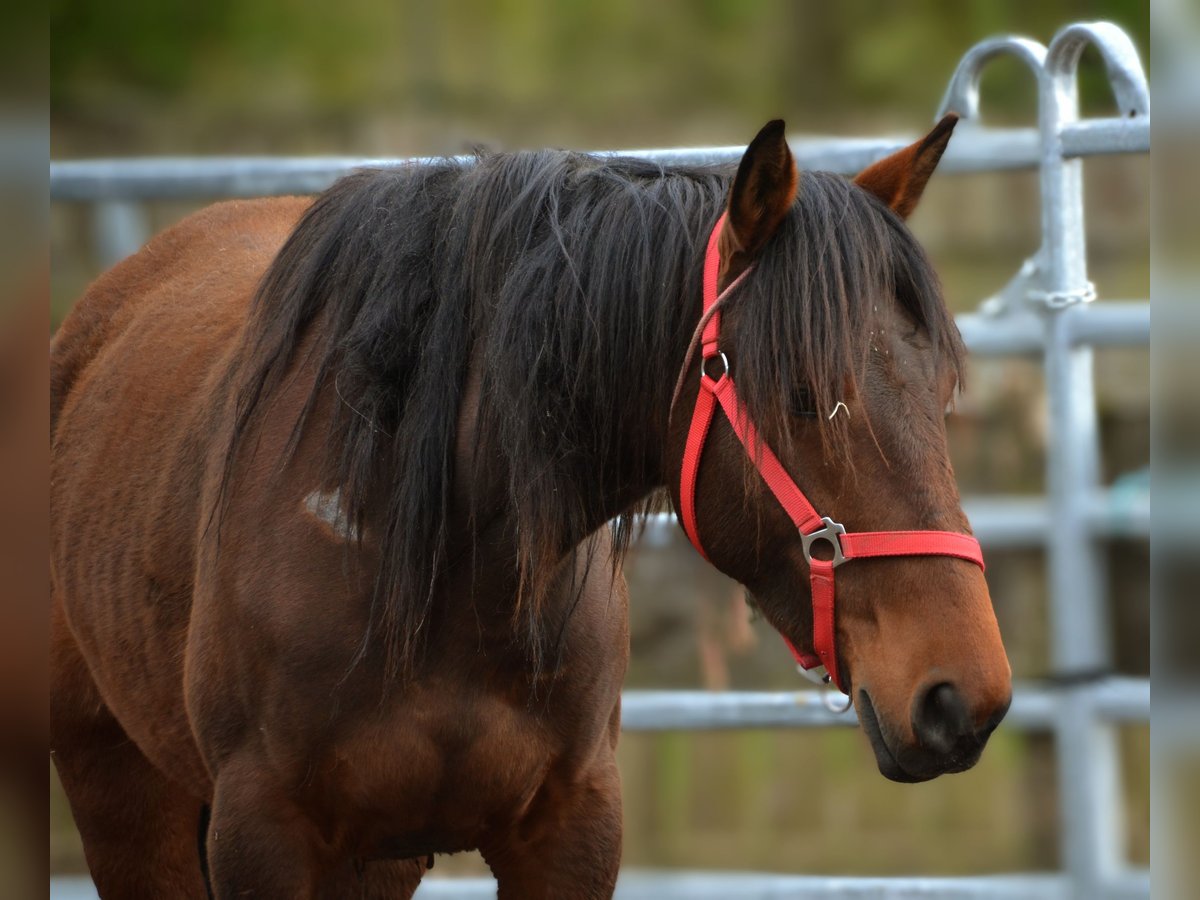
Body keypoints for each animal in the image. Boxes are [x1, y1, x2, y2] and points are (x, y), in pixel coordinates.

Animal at [54, 116, 1012, 897]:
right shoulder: (264, 838)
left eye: (941, 390)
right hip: (123, 797)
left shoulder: (570, 833)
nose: (963, 696)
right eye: (807, 397)